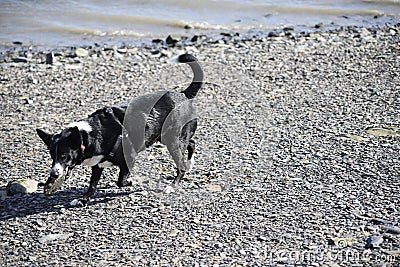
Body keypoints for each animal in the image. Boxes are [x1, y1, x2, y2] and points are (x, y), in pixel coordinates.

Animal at [37, 53, 203, 202]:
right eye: (52, 156)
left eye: (64, 156)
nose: (53, 174)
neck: (90, 135)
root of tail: (183, 95)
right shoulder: (97, 165)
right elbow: (93, 184)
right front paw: (84, 198)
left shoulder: (129, 158)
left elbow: (120, 181)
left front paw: (131, 181)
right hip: (166, 137)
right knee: (192, 143)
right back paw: (190, 163)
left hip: (173, 141)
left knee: (181, 165)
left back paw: (172, 185)